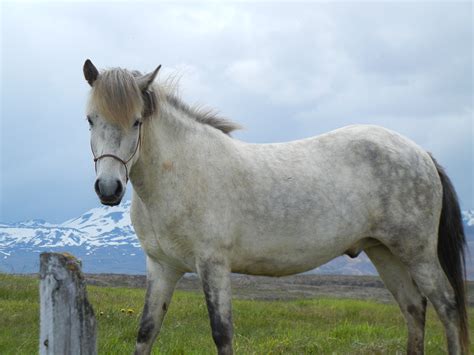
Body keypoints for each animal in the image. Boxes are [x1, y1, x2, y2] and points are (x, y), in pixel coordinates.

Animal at [81, 59, 466, 354]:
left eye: (136, 121)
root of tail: (421, 153)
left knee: (446, 307)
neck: (180, 173)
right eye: (90, 119)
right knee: (414, 309)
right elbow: (146, 331)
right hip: (384, 252)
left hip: (417, 253)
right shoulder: (162, 267)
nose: (109, 188)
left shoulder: (213, 265)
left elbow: (222, 333)